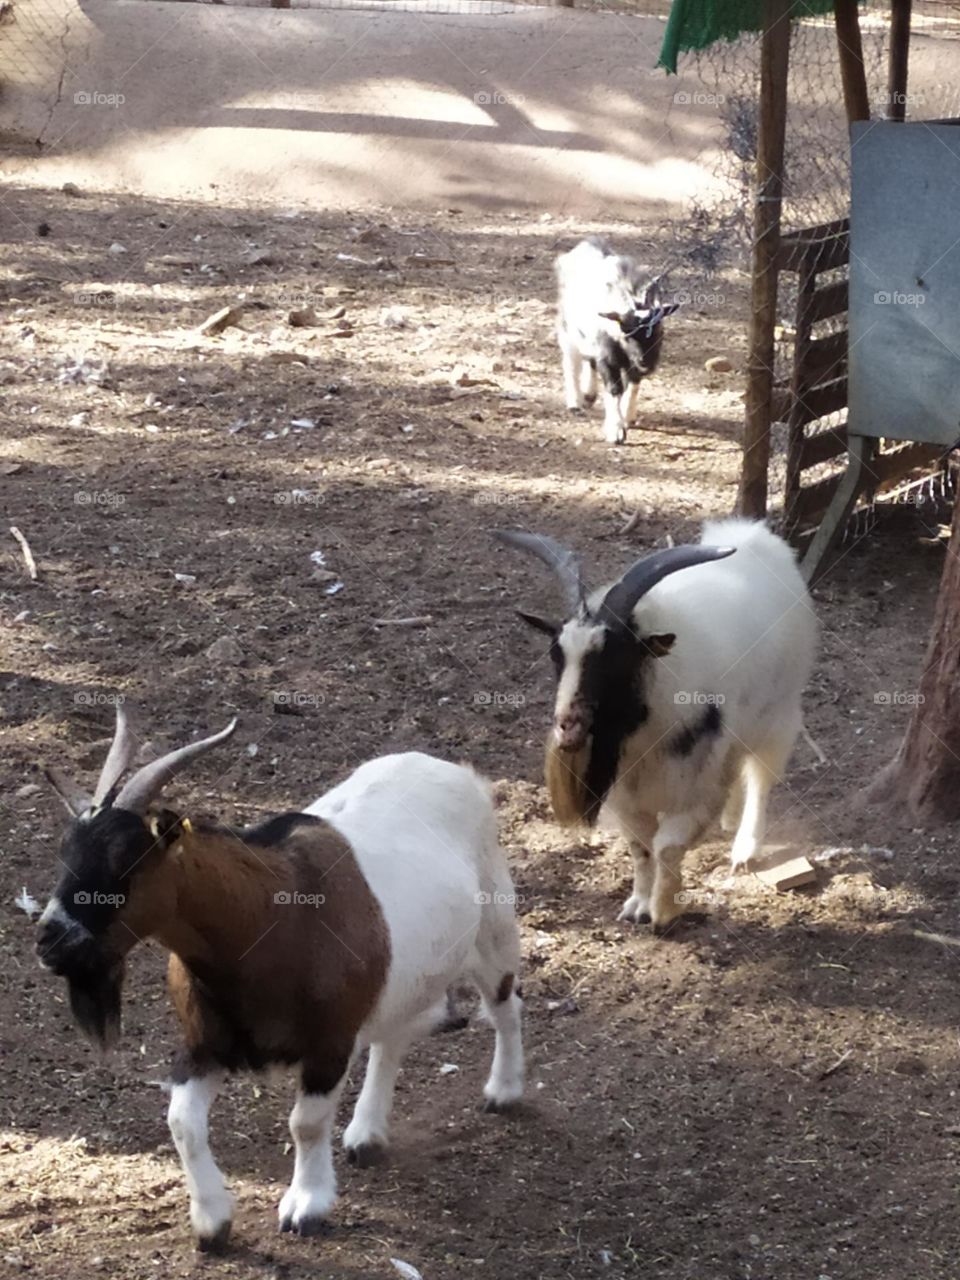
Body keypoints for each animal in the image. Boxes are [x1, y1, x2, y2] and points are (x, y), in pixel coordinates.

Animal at [36, 709, 523, 1250]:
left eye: (127, 858)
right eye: (65, 852)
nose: (51, 940)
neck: (268, 916)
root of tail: (459, 774)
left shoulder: (329, 1042)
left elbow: (305, 1123)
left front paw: (305, 1206)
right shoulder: (206, 1043)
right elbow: (181, 1122)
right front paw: (212, 1221)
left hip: (494, 930)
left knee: (506, 1006)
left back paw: (503, 1091)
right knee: (392, 1037)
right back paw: (367, 1133)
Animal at [495, 519, 817, 930]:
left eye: (617, 657)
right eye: (557, 654)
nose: (568, 726)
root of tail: (754, 534)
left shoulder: (695, 789)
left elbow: (667, 847)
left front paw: (664, 911)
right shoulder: (628, 797)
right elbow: (641, 848)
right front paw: (637, 905)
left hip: (779, 714)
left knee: (761, 777)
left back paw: (745, 847)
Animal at [556, 237, 680, 445]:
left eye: (659, 330)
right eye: (628, 334)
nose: (648, 363)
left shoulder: (631, 364)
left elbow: (633, 385)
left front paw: (627, 417)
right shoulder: (609, 360)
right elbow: (615, 389)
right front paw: (615, 431)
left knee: (589, 360)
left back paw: (589, 395)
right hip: (568, 330)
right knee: (571, 361)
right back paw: (575, 402)